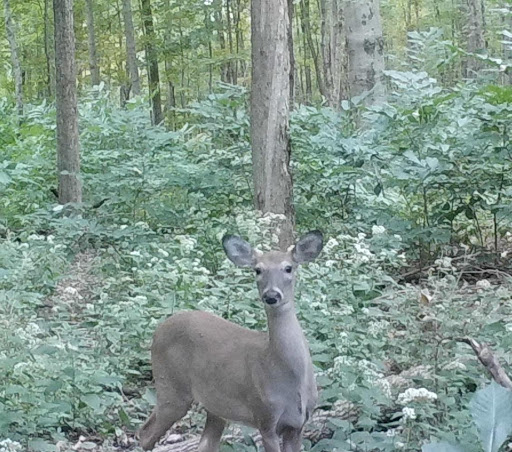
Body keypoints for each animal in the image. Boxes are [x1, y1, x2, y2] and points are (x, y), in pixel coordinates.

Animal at [139, 231, 324, 450]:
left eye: (288, 267)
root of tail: (158, 329)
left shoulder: (298, 425)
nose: (271, 295)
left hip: (215, 405)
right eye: (258, 270)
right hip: (170, 386)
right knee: (145, 433)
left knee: (205, 443)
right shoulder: (265, 418)